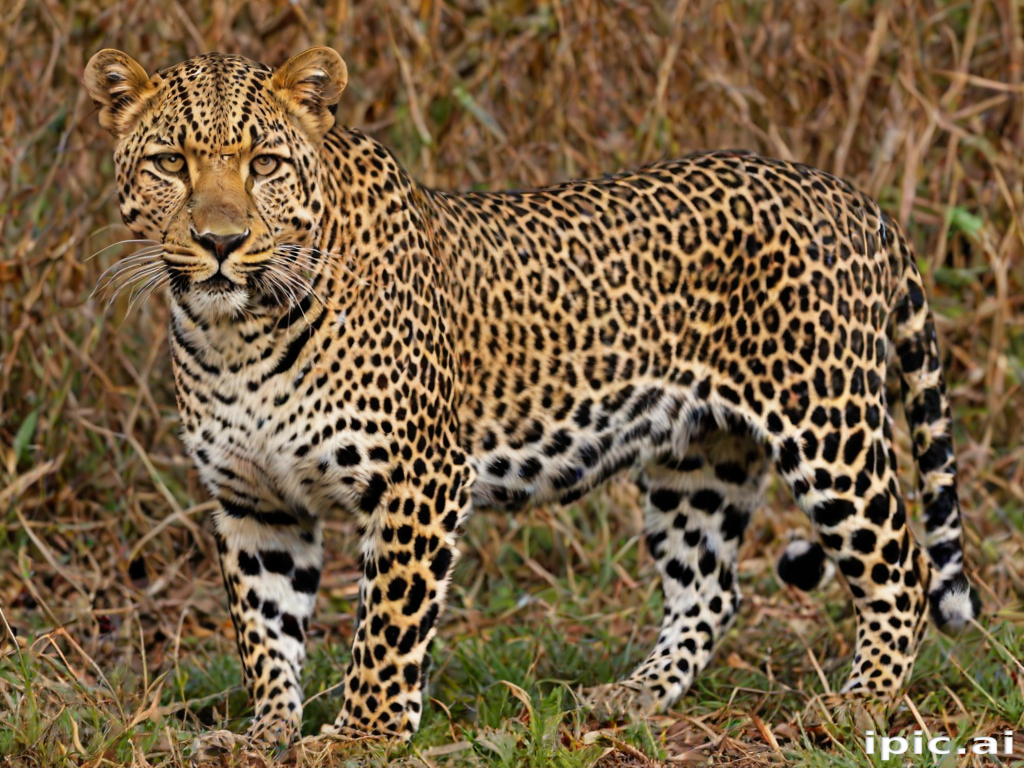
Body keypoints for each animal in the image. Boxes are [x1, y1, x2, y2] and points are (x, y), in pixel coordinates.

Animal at [84, 46, 978, 744]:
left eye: (264, 164)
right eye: (171, 164)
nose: (221, 241)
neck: (237, 335)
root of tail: (852, 197)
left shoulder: (419, 479)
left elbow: (388, 623)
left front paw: (362, 734)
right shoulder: (253, 500)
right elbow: (265, 625)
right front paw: (266, 730)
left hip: (827, 427)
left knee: (901, 562)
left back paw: (860, 704)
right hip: (701, 457)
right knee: (710, 586)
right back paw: (633, 697)